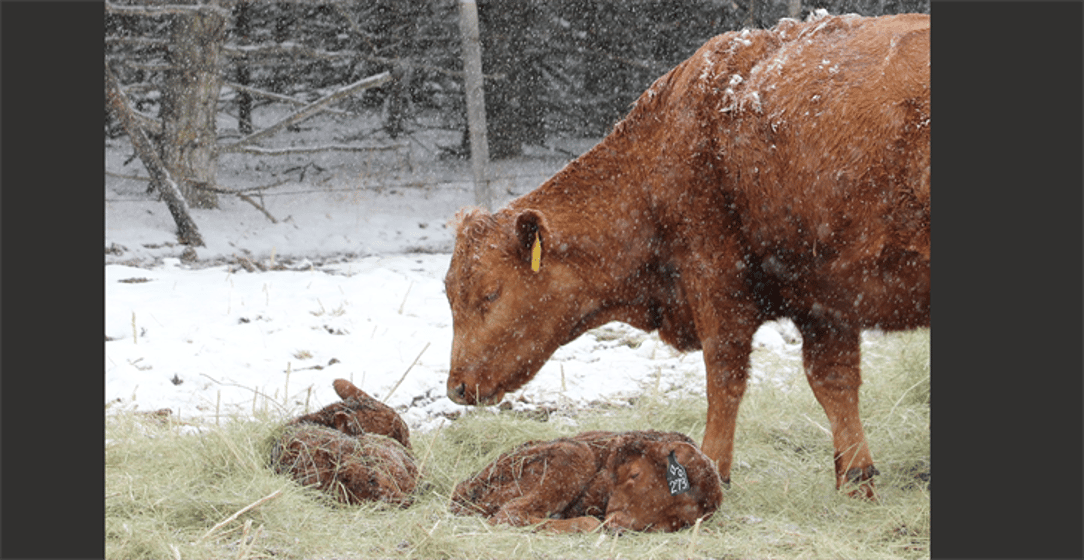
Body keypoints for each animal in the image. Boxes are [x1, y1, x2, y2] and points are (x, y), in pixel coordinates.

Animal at [444, 12, 930, 500]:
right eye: (450, 294)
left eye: (489, 293)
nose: (457, 388)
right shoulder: (824, 301)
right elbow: (834, 382)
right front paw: (857, 478)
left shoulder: (716, 282)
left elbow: (725, 378)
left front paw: (712, 468)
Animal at [450, 430, 723, 533]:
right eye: (635, 474)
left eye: (675, 521)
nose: (617, 525)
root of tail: (461, 492)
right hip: (575, 454)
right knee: (510, 513)